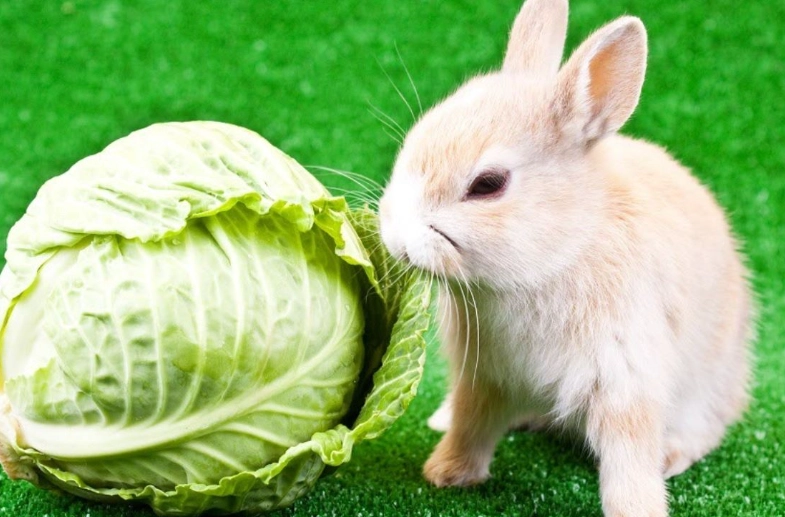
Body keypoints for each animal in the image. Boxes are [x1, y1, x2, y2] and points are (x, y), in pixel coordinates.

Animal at [377, 0, 754, 515]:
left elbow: (627, 460)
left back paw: (672, 456)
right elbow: (472, 425)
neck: (555, 258)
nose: (396, 240)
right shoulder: (484, 376)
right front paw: (446, 474)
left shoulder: (625, 378)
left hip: (706, 388)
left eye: (488, 185)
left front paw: (637, 509)